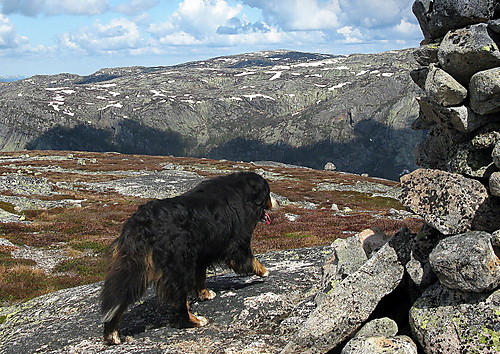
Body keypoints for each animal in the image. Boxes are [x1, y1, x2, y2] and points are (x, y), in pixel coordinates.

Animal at [97, 171, 278, 342]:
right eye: (268, 192)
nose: (278, 202)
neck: (241, 192)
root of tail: (140, 224)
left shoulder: (201, 254)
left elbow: (200, 277)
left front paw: (204, 293)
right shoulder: (237, 243)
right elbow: (247, 259)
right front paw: (264, 271)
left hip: (134, 266)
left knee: (120, 295)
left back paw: (112, 335)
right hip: (177, 265)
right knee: (178, 300)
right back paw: (194, 321)